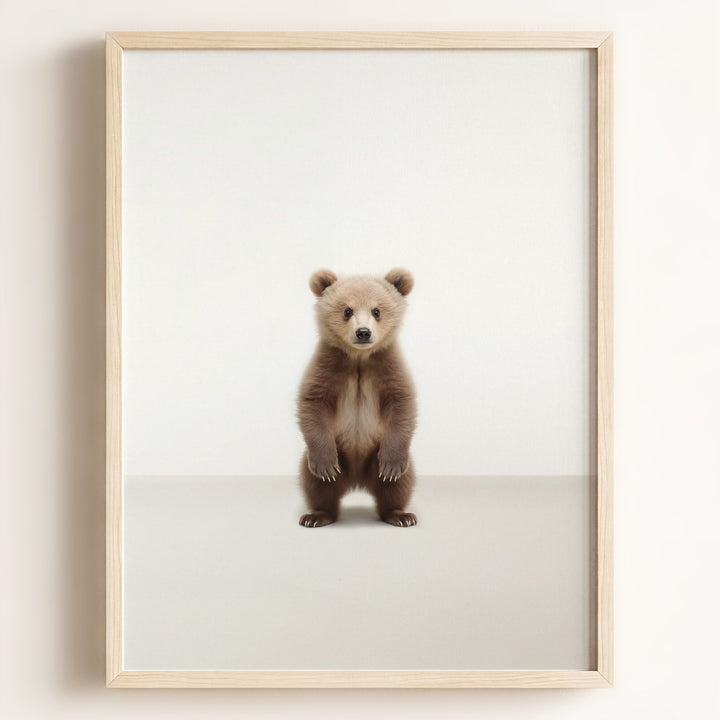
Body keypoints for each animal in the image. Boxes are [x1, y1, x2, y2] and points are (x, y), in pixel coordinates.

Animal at [297, 268, 418, 528]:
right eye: (347, 310)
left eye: (377, 311)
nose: (363, 332)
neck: (359, 358)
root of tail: (357, 481)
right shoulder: (328, 365)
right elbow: (313, 404)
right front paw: (325, 466)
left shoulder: (387, 366)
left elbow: (402, 404)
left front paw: (392, 466)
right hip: (338, 453)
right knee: (316, 483)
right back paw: (316, 515)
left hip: (376, 454)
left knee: (399, 484)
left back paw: (400, 514)